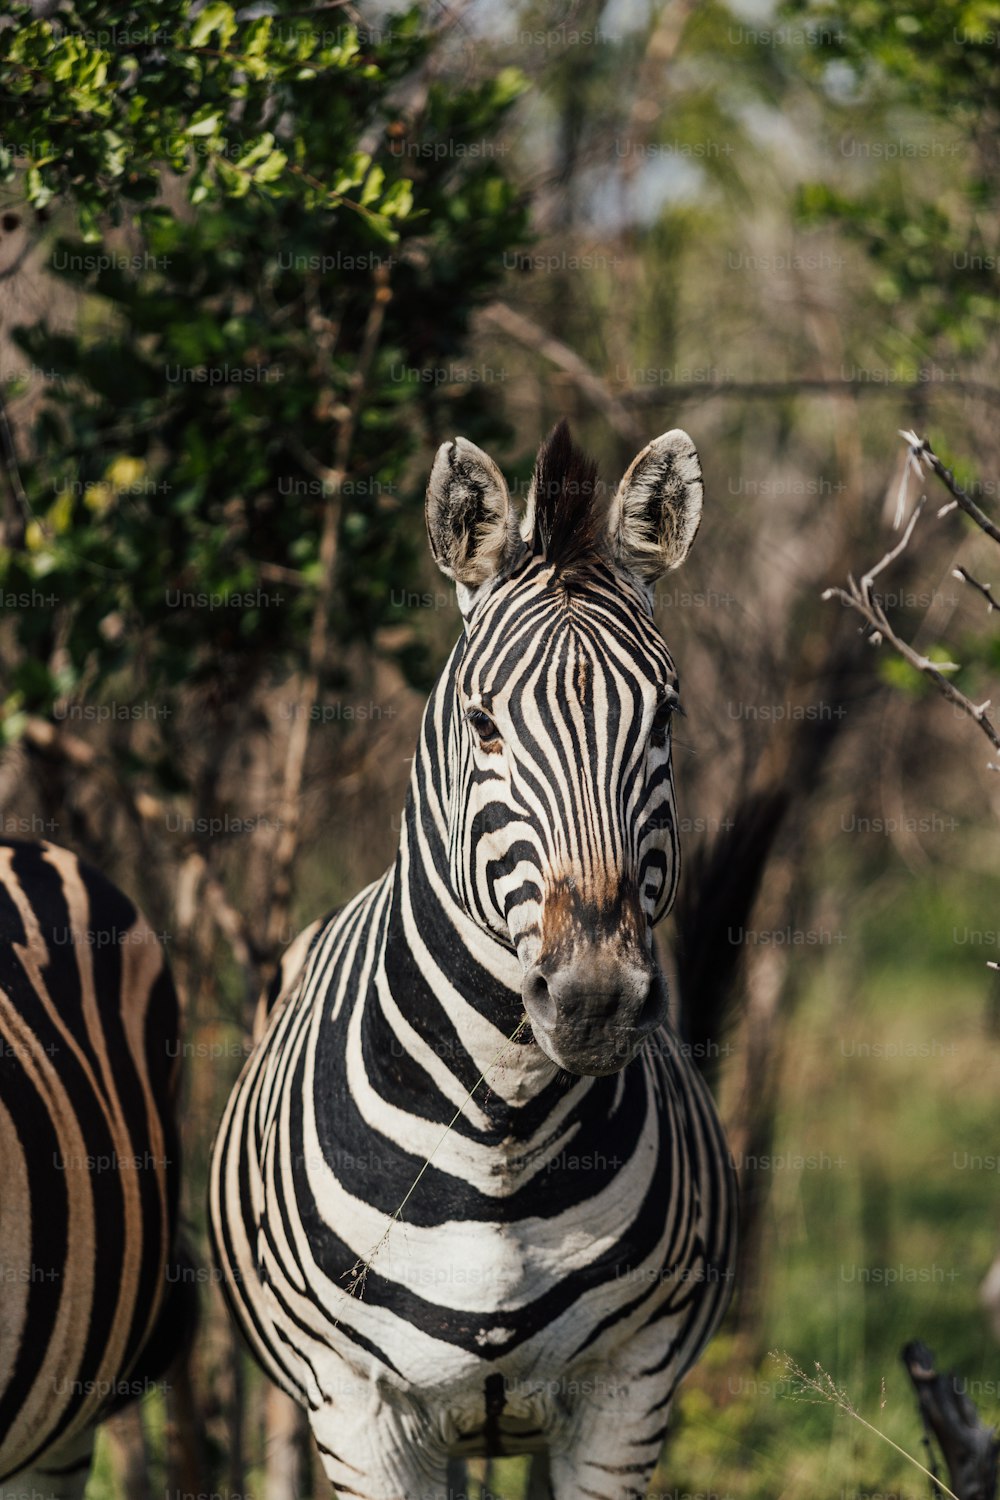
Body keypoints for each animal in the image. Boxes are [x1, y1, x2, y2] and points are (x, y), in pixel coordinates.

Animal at [211, 423, 740, 1500]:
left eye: (665, 719)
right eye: (484, 725)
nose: (592, 1003)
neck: (503, 1130)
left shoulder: (627, 1396)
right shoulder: (360, 1412)